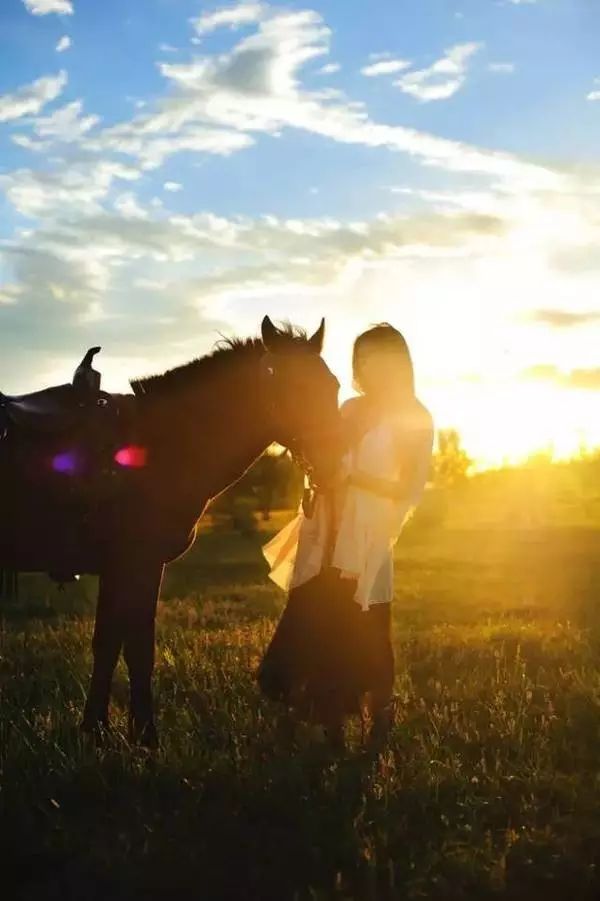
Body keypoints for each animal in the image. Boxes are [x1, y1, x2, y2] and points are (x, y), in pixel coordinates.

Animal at [0, 318, 338, 744]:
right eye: (296, 387)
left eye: (334, 386)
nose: (337, 462)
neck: (161, 443)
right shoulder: (138, 565)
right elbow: (137, 648)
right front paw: (145, 735)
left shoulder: (121, 570)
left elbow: (109, 643)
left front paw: (96, 728)